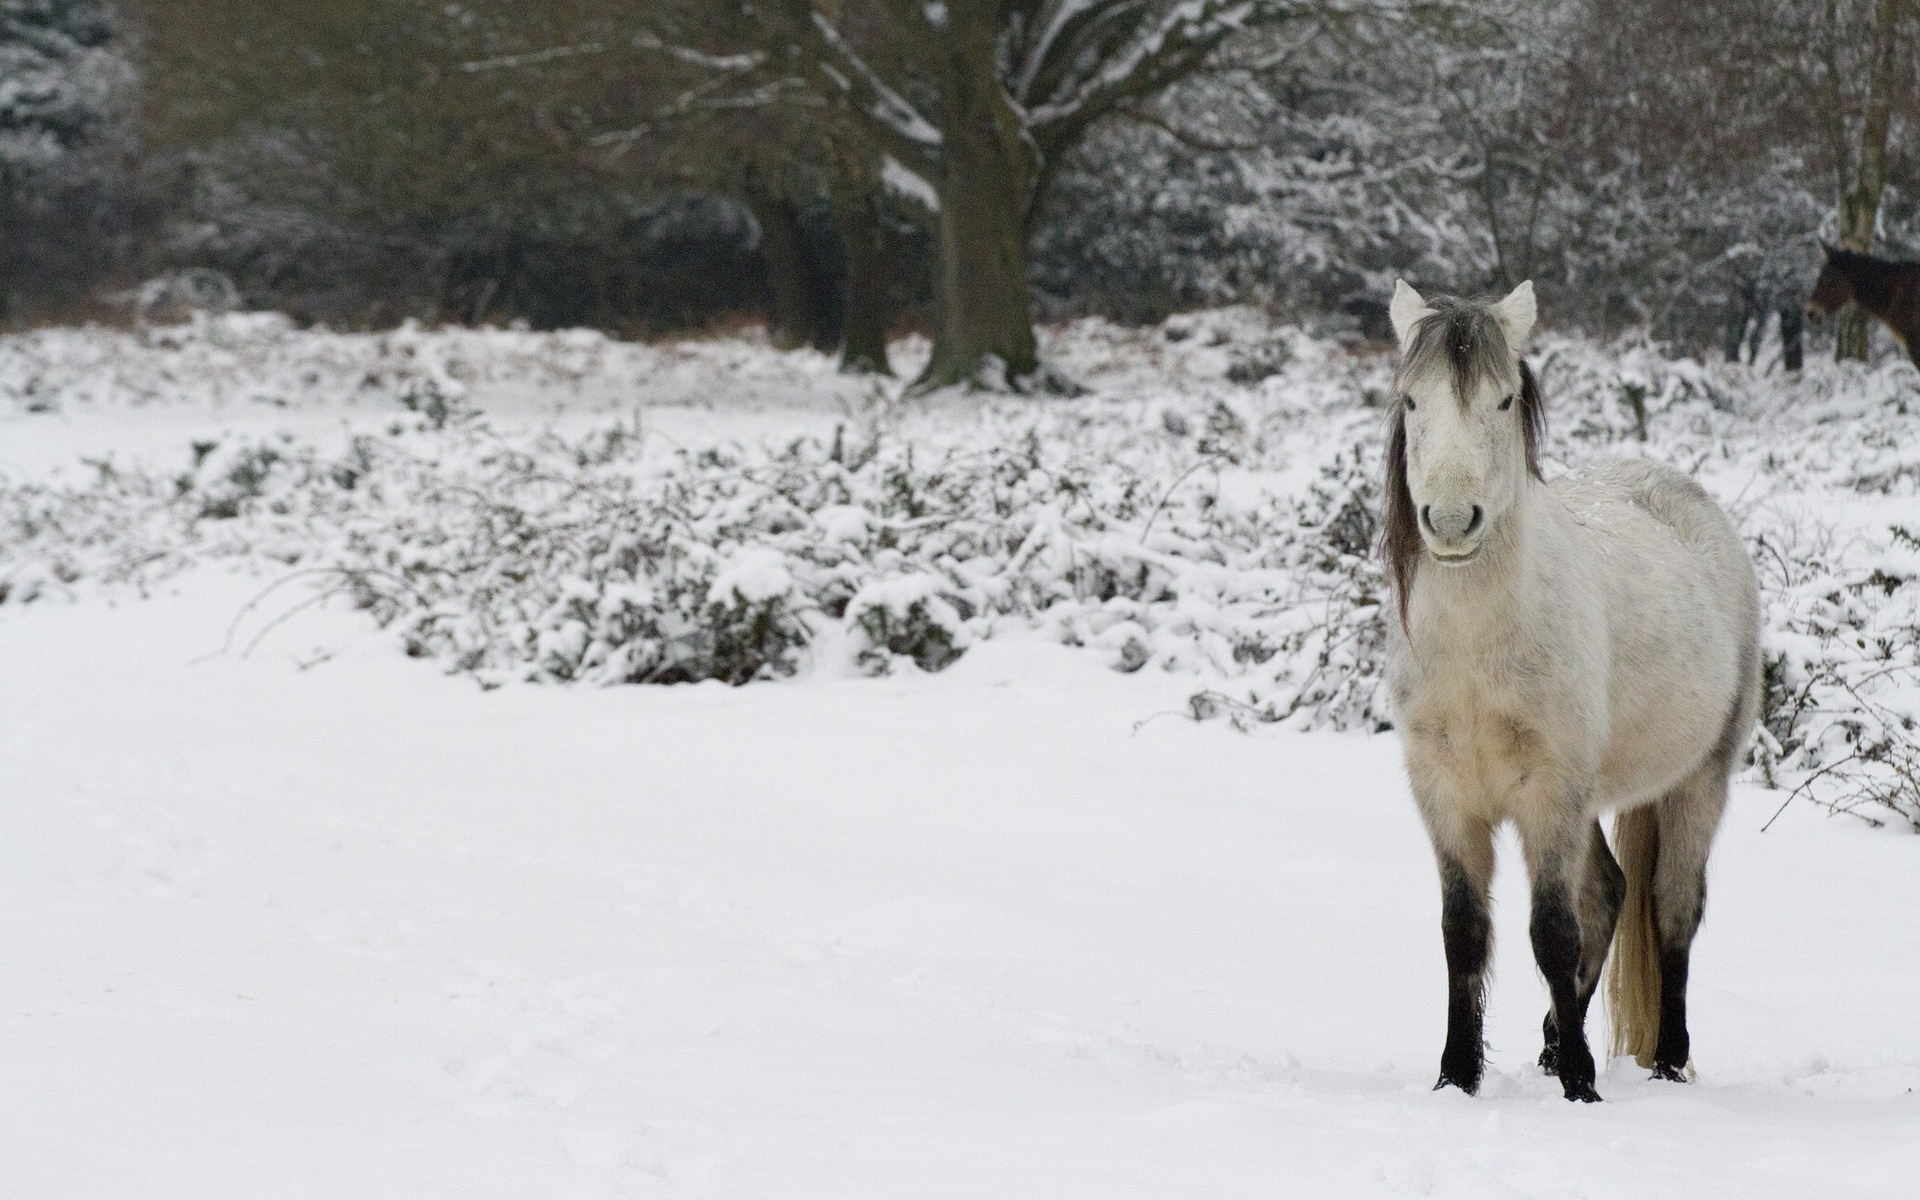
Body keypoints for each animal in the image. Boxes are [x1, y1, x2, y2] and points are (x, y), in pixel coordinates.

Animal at [1382, 280, 1758, 1105]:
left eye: (1503, 399)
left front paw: (1583, 1087)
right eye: (1412, 400)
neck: (1478, 653)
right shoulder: (1445, 797)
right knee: (1611, 893)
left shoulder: (1549, 795)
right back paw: (1557, 1044)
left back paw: (1664, 1061)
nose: (1450, 521)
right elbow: (1465, 934)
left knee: (1670, 909)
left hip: (1699, 781)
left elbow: (1553, 932)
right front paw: (1457, 1076)